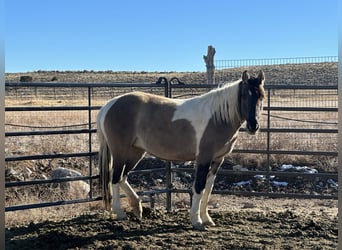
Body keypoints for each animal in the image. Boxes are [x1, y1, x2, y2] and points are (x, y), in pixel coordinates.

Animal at [97, 70, 266, 230]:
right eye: (244, 95)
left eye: (262, 96)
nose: (253, 126)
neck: (218, 117)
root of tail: (109, 105)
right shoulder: (203, 158)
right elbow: (199, 187)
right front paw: (197, 221)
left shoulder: (218, 160)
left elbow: (208, 188)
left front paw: (207, 218)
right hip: (120, 152)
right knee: (115, 177)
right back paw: (120, 213)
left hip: (135, 152)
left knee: (122, 177)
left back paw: (137, 208)